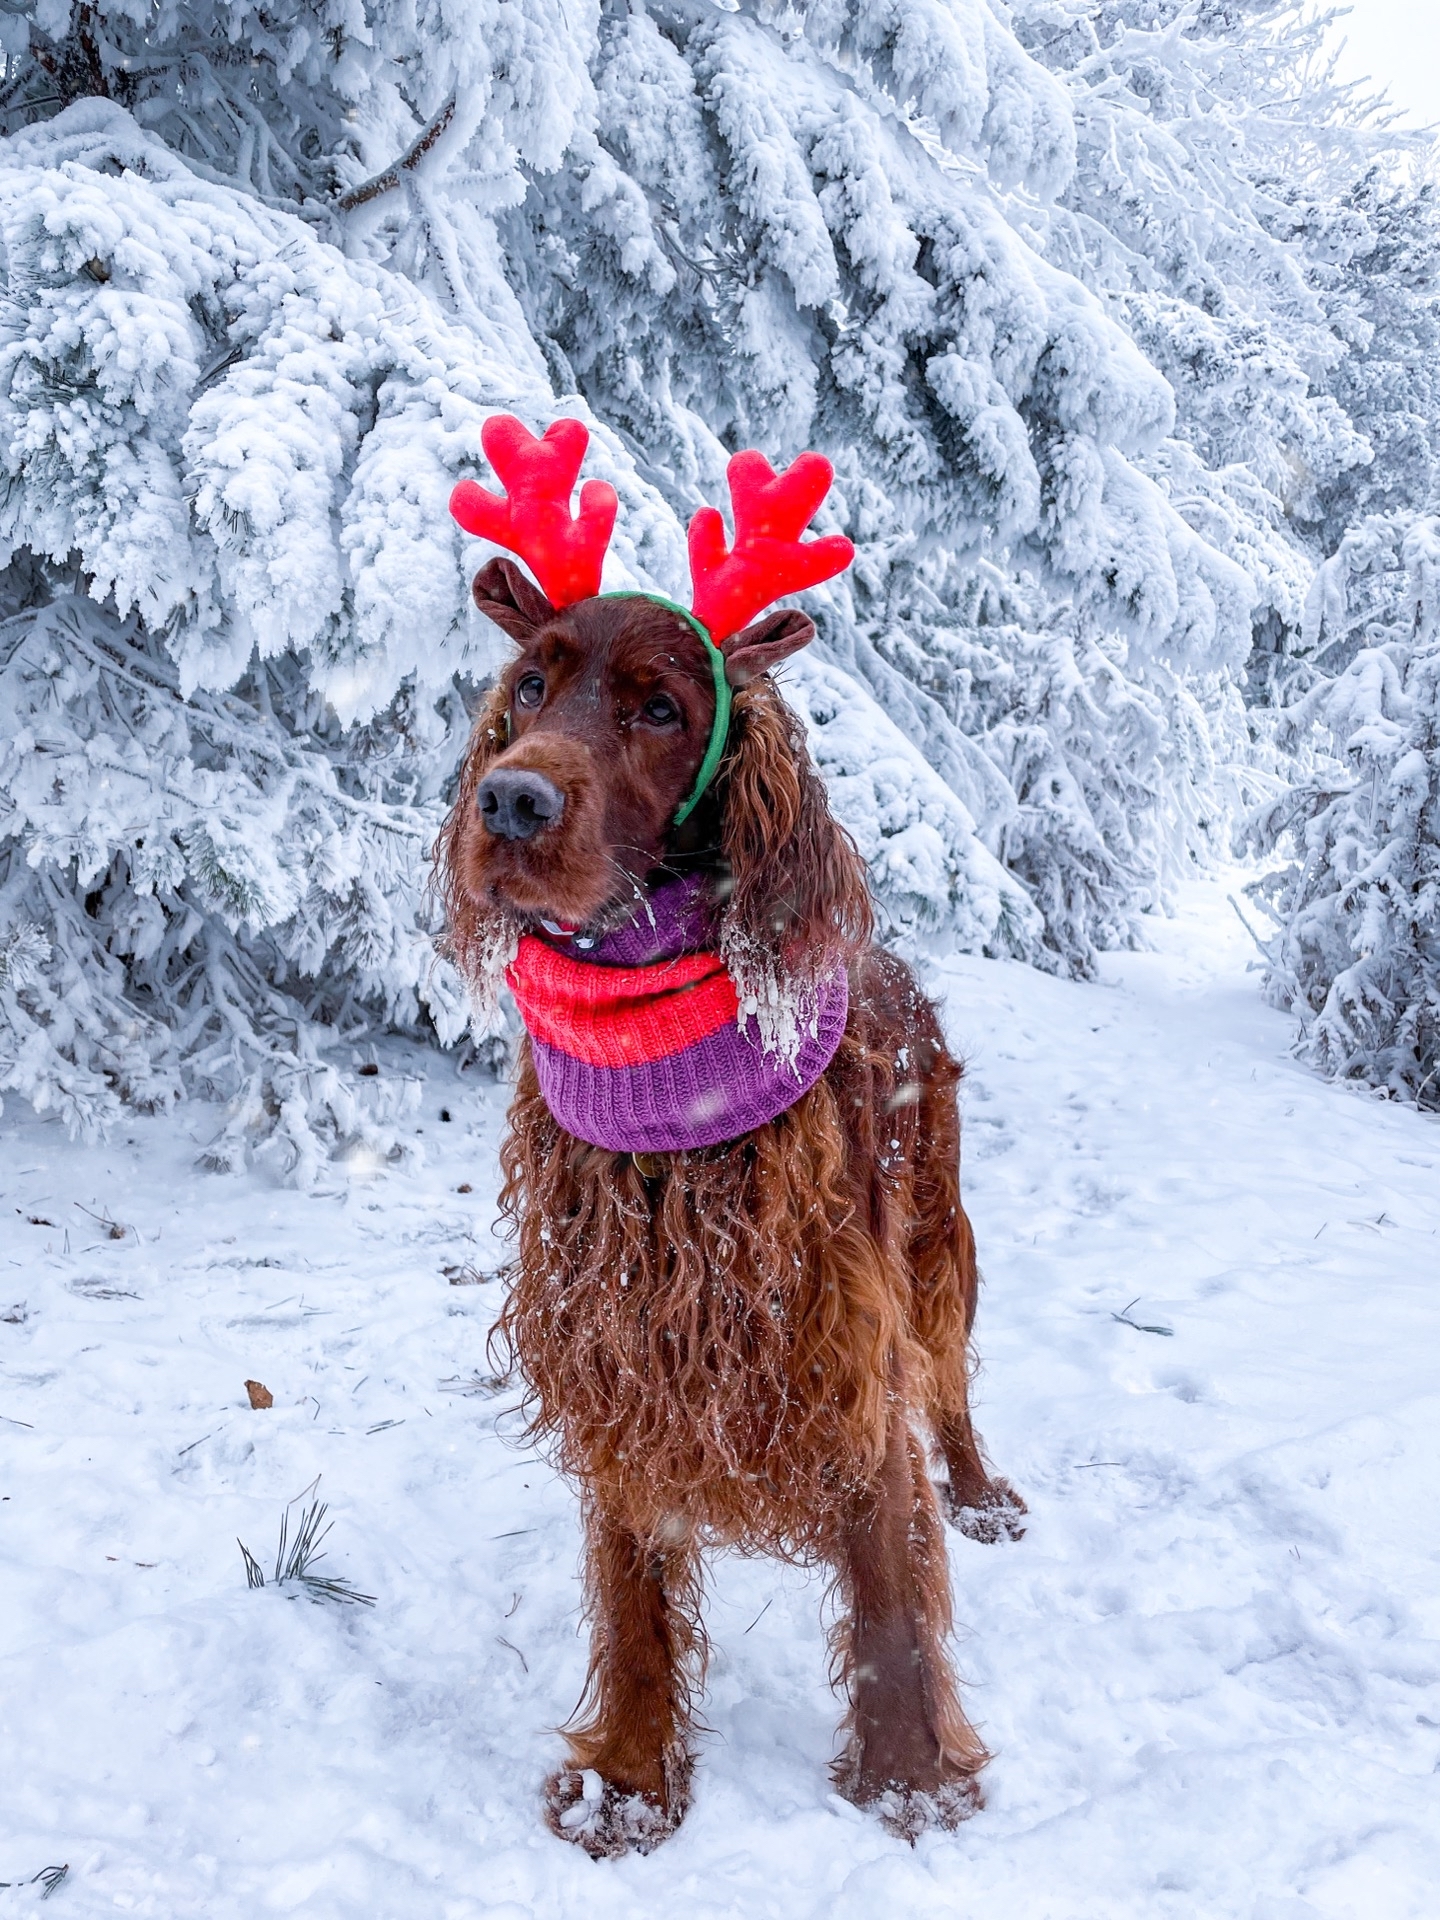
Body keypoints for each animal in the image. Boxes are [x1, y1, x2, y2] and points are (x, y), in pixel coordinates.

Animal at [432, 552, 1029, 1843]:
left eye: (660, 709)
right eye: (532, 685)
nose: (510, 804)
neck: (656, 1068)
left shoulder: (845, 1346)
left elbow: (890, 1589)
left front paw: (909, 1782)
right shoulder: (618, 1342)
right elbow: (633, 1594)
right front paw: (629, 1779)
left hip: (934, 1243)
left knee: (951, 1382)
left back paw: (982, 1492)